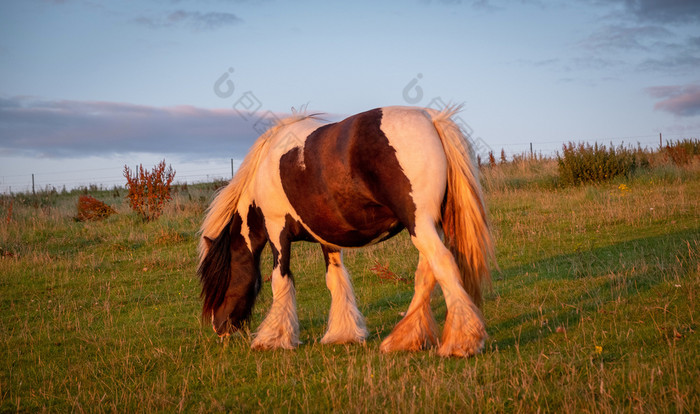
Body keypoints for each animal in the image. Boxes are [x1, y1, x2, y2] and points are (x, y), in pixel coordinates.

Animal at [197, 105, 492, 358]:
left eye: (218, 282)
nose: (217, 328)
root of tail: (430, 118)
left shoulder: (277, 229)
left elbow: (280, 280)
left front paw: (272, 339)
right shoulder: (327, 238)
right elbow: (335, 280)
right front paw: (343, 333)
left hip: (420, 225)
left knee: (442, 263)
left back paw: (460, 343)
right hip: (426, 226)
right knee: (426, 273)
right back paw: (405, 339)